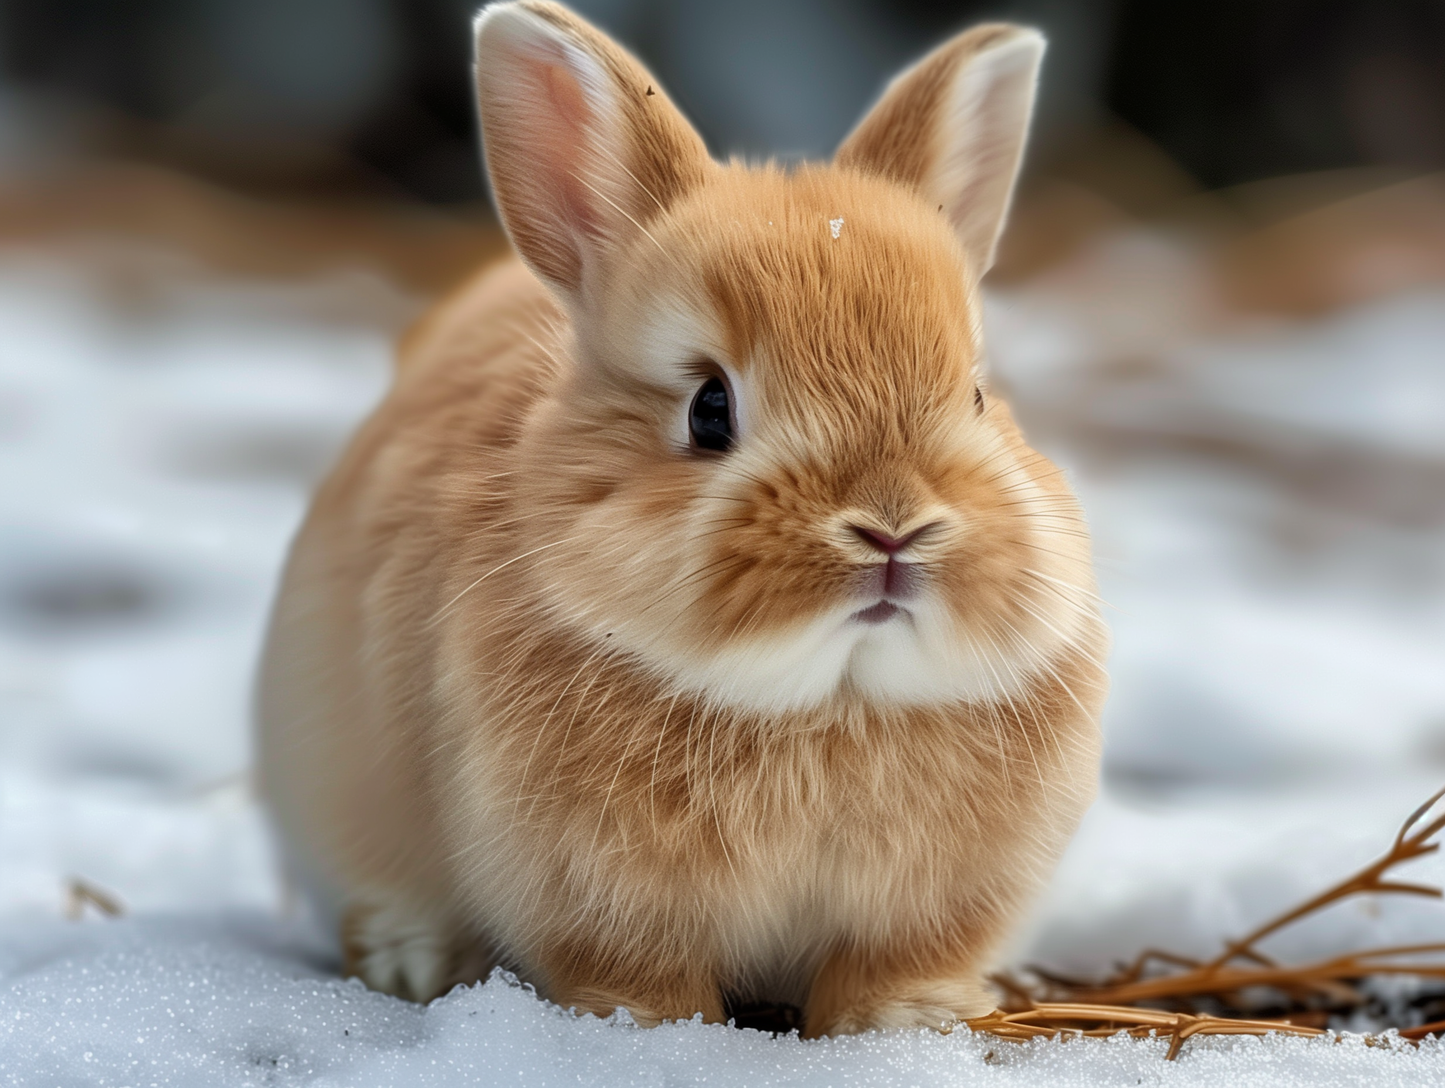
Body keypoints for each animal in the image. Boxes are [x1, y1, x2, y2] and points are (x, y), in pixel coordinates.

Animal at [256, 0, 1107, 1037]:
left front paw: (908, 1025)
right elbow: (641, 980)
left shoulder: (922, 915)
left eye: (979, 397)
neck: (827, 704)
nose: (892, 528)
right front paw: (659, 1037)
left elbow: (889, 971)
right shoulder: (604, 905)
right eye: (709, 410)